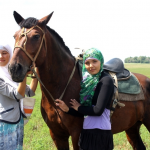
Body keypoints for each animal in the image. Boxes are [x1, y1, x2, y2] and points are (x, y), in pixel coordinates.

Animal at [8, 11, 149, 149]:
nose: (14, 68)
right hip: (132, 127)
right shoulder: (57, 135)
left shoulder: (77, 134)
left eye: (36, 36)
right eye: (14, 36)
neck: (62, 84)